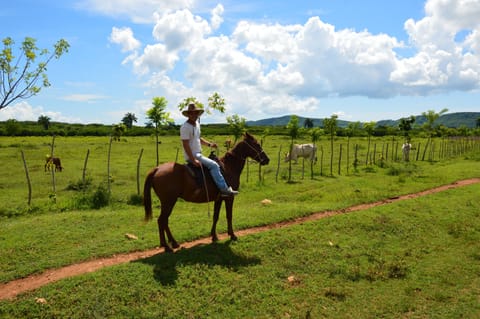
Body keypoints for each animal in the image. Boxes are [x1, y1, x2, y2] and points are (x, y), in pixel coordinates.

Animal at [142, 132, 270, 252]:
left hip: (169, 202)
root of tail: (157, 169)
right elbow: (229, 216)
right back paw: (166, 246)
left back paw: (174, 243)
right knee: (161, 220)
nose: (267, 160)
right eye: (257, 144)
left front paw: (214, 236)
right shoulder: (229, 198)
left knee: (165, 221)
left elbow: (215, 216)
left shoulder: (219, 198)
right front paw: (232, 235)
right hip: (168, 202)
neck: (229, 167)